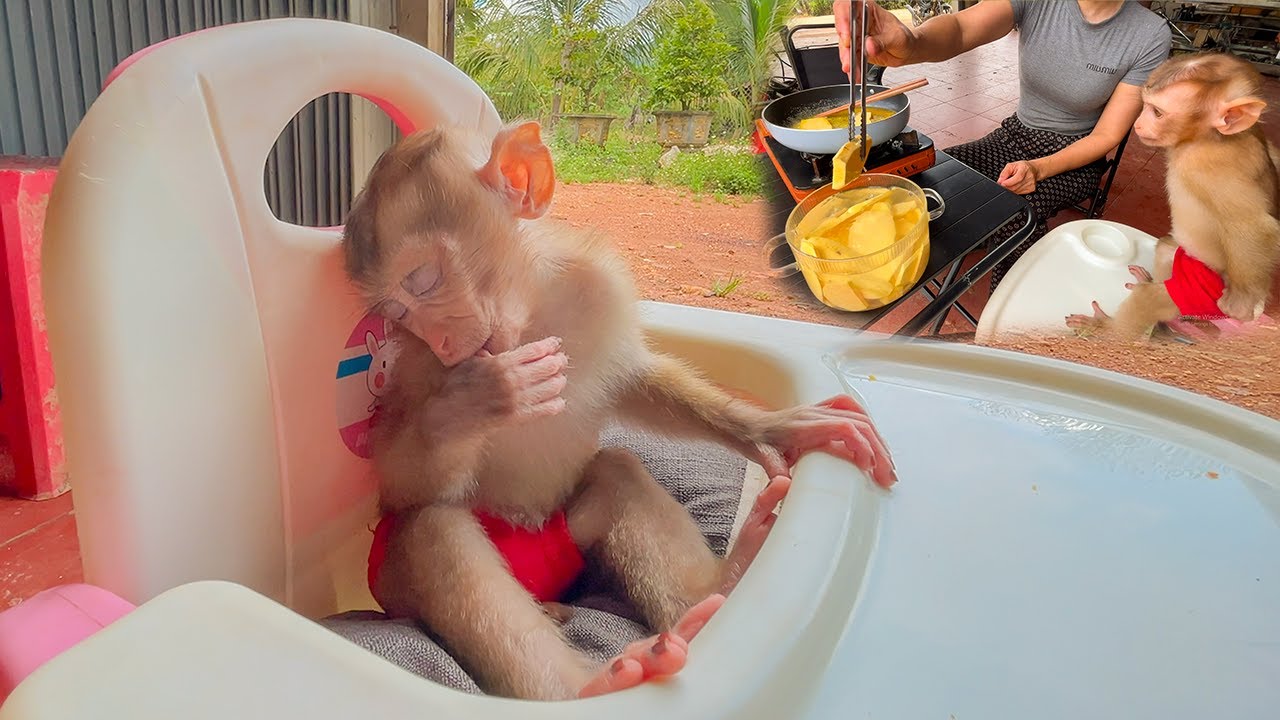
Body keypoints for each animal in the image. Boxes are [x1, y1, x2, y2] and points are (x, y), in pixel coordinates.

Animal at [340, 120, 898, 701]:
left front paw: (772, 427)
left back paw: (718, 585)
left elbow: (632, 380)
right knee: (428, 529)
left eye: (423, 280)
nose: (445, 342)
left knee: (617, 471)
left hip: (568, 539)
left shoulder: (598, 287)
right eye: (399, 314)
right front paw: (481, 396)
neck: (531, 315)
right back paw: (590, 685)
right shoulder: (415, 366)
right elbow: (399, 482)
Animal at [1066, 51, 1280, 341]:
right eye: (1145, 106)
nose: (1137, 124)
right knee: (1168, 248)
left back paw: (1106, 329)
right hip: (1189, 266)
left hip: (1203, 296)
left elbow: (1256, 226)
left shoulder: (1211, 167)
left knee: (1149, 300)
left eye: (1157, 112)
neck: (1201, 139)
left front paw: (1244, 304)